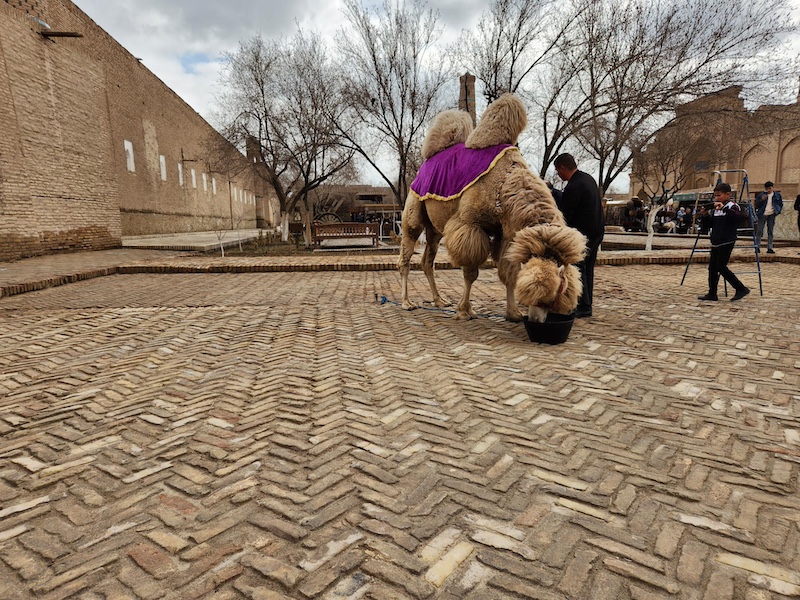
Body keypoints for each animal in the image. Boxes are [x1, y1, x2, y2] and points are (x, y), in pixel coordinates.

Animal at [396, 92, 584, 324]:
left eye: (553, 297)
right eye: (540, 299)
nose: (535, 320)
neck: (505, 186)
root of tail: (426, 161)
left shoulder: (507, 233)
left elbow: (509, 272)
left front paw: (513, 313)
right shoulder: (470, 225)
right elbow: (471, 273)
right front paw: (464, 311)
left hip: (435, 228)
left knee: (427, 260)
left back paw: (440, 301)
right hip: (414, 205)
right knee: (406, 253)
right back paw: (407, 303)